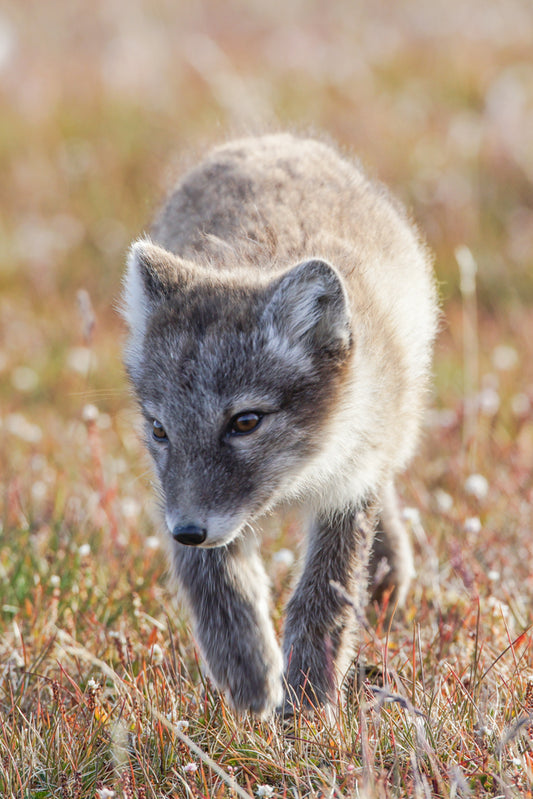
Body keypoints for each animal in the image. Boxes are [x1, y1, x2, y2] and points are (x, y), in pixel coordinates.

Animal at [121, 133, 438, 717]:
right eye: (159, 430)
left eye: (245, 421)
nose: (188, 531)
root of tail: (270, 138)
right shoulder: (179, 501)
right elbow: (216, 585)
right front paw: (249, 675)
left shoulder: (349, 485)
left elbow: (324, 593)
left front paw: (309, 701)